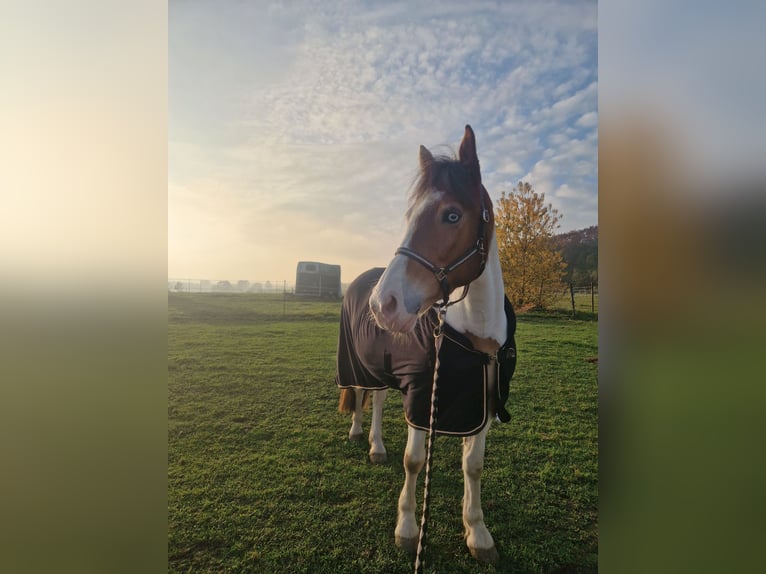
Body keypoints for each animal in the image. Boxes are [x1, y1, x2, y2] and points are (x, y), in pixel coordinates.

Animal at [334, 127, 520, 568]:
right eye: (409, 217)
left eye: (452, 215)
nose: (383, 304)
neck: (474, 337)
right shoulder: (421, 398)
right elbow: (414, 460)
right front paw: (406, 529)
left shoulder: (482, 404)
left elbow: (474, 465)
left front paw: (477, 532)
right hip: (361, 366)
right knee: (365, 396)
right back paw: (364, 438)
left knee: (377, 399)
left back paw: (375, 445)